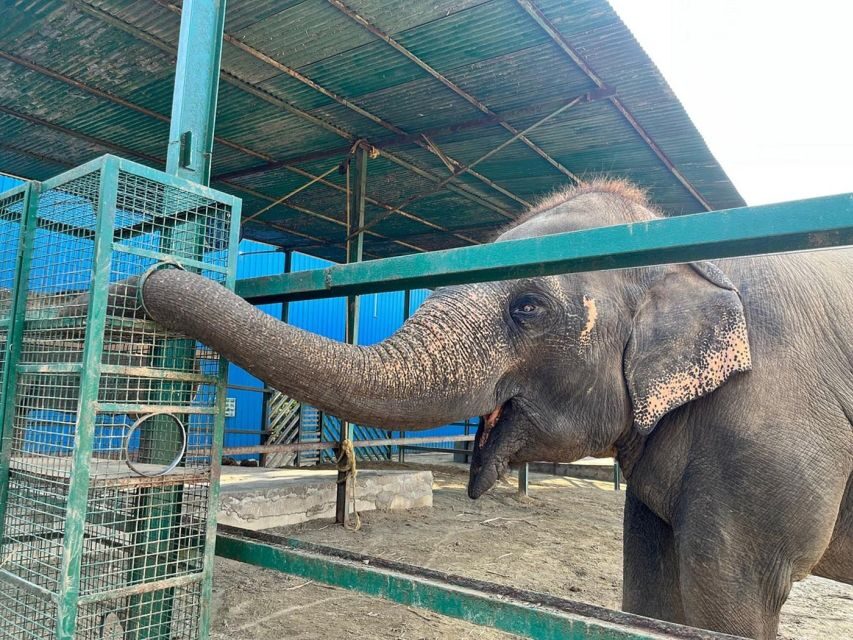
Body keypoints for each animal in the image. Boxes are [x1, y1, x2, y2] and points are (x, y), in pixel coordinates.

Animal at [116, 179, 851, 639]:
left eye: (527, 307)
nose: (141, 284)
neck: (688, 252)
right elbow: (650, 589)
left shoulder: (769, 430)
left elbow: (727, 599)